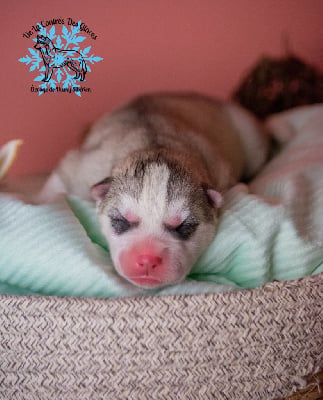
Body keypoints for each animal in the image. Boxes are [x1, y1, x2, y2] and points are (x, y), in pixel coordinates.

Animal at [40, 93, 268, 288]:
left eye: (183, 226)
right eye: (121, 220)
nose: (147, 260)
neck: (154, 145)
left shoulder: (222, 173)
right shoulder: (83, 167)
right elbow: (58, 181)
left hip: (251, 138)